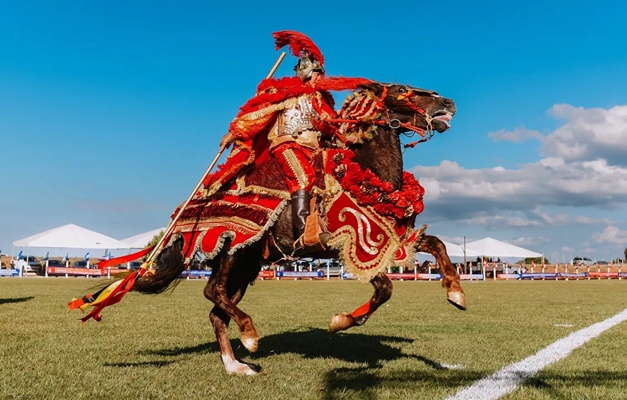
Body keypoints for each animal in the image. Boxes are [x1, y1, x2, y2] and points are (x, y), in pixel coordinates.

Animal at [134, 81, 466, 376]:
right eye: (401, 90)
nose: (448, 103)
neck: (368, 175)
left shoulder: (392, 238)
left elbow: (437, 244)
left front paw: (456, 292)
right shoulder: (351, 243)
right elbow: (385, 288)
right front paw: (340, 321)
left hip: (246, 265)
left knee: (217, 312)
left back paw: (235, 366)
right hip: (232, 250)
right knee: (212, 290)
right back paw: (249, 335)